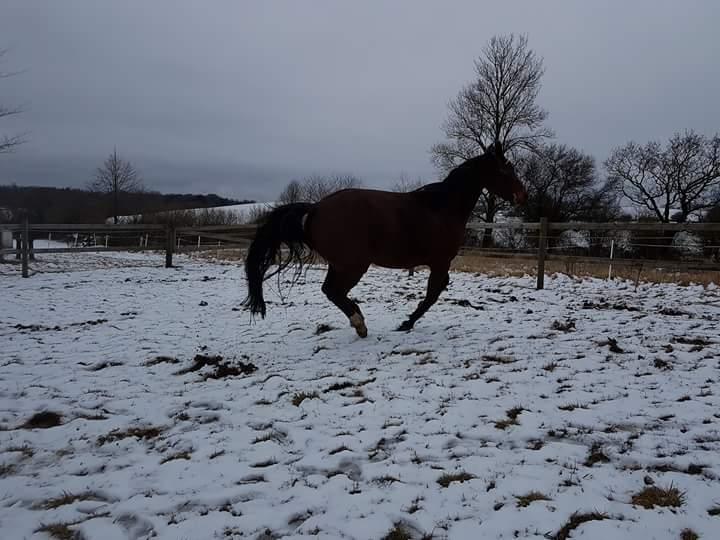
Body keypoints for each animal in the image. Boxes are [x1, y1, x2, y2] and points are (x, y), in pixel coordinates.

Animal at [245, 143, 524, 338]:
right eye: (505, 169)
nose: (522, 195)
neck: (442, 207)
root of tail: (315, 209)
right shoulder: (440, 262)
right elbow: (432, 295)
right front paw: (406, 323)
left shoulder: (439, 263)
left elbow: (435, 292)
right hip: (353, 265)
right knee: (334, 291)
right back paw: (360, 324)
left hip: (340, 265)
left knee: (330, 291)